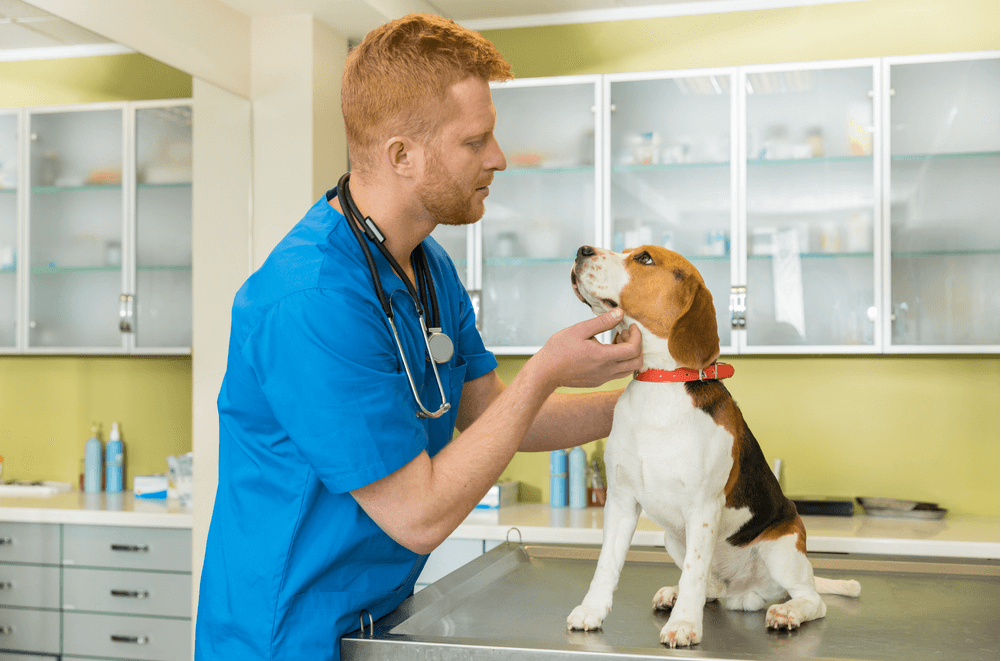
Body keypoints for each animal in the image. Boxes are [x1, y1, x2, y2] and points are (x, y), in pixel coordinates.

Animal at [568, 246, 856, 644]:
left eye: (644, 258)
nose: (582, 250)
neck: (661, 383)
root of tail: (744, 592)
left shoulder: (703, 506)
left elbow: (695, 570)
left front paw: (685, 626)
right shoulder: (621, 501)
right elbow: (606, 564)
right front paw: (591, 611)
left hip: (783, 548)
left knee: (812, 599)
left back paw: (787, 612)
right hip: (673, 539)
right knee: (710, 587)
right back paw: (677, 595)